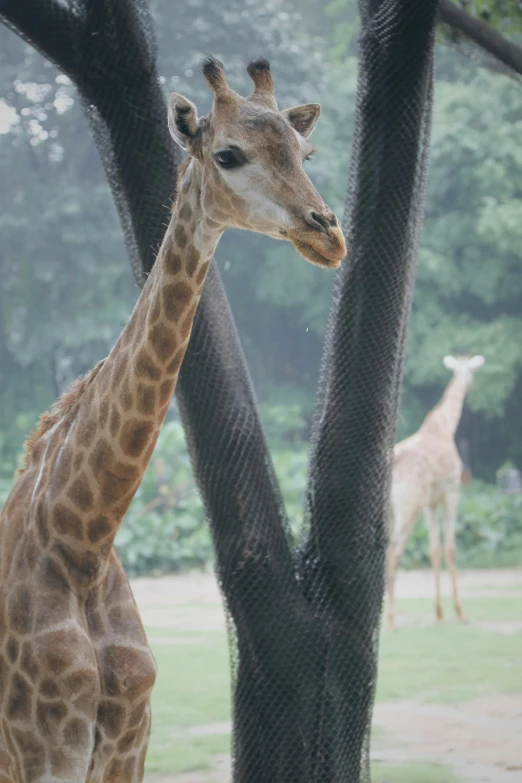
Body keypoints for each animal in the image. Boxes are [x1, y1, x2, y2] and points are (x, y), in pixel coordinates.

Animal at [0, 56, 346, 783]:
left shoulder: (128, 748)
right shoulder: (43, 753)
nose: (328, 234)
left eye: (305, 154)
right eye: (228, 154)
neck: (81, 542)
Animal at [382, 356, 484, 632]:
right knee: (393, 551)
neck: (446, 426)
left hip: (391, 510)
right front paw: (459, 612)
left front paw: (439, 613)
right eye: (471, 371)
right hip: (409, 507)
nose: (470, 385)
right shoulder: (451, 492)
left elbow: (434, 549)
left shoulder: (431, 502)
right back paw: (391, 618)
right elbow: (450, 548)